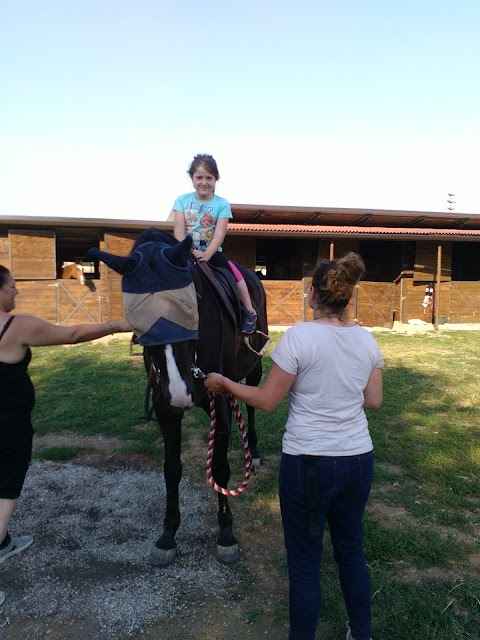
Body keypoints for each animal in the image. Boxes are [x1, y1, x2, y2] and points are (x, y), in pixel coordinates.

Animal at [89, 230, 270, 564]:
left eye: (192, 303)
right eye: (137, 316)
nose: (180, 392)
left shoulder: (218, 401)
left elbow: (220, 469)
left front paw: (226, 534)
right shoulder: (164, 408)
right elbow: (171, 470)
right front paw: (168, 535)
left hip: (254, 367)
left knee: (251, 405)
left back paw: (253, 449)